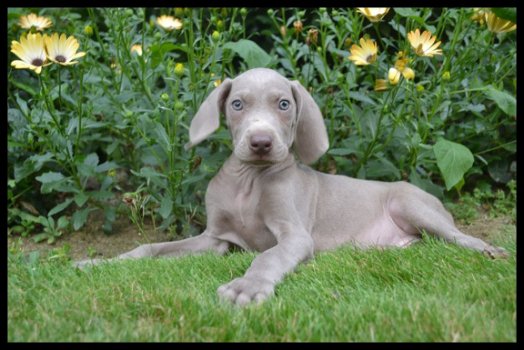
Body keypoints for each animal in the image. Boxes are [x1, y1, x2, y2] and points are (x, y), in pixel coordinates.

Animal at [77, 67, 508, 304]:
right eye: (237, 104)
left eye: (284, 104)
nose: (261, 142)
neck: (249, 181)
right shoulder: (214, 240)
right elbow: (151, 247)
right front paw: (99, 263)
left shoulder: (295, 235)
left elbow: (266, 257)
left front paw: (246, 287)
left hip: (410, 203)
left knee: (458, 236)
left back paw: (489, 250)